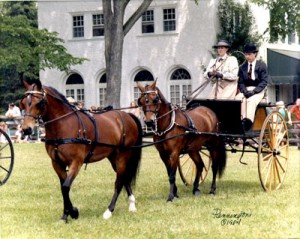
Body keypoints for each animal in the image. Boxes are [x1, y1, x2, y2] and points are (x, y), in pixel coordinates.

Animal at [19, 80, 143, 220]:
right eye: (23, 103)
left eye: (39, 102)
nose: (26, 129)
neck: (62, 125)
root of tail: (127, 115)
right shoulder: (57, 163)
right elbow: (63, 187)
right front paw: (66, 214)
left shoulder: (76, 162)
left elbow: (66, 186)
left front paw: (73, 212)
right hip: (113, 156)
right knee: (124, 177)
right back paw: (132, 205)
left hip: (123, 155)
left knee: (119, 181)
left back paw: (109, 211)